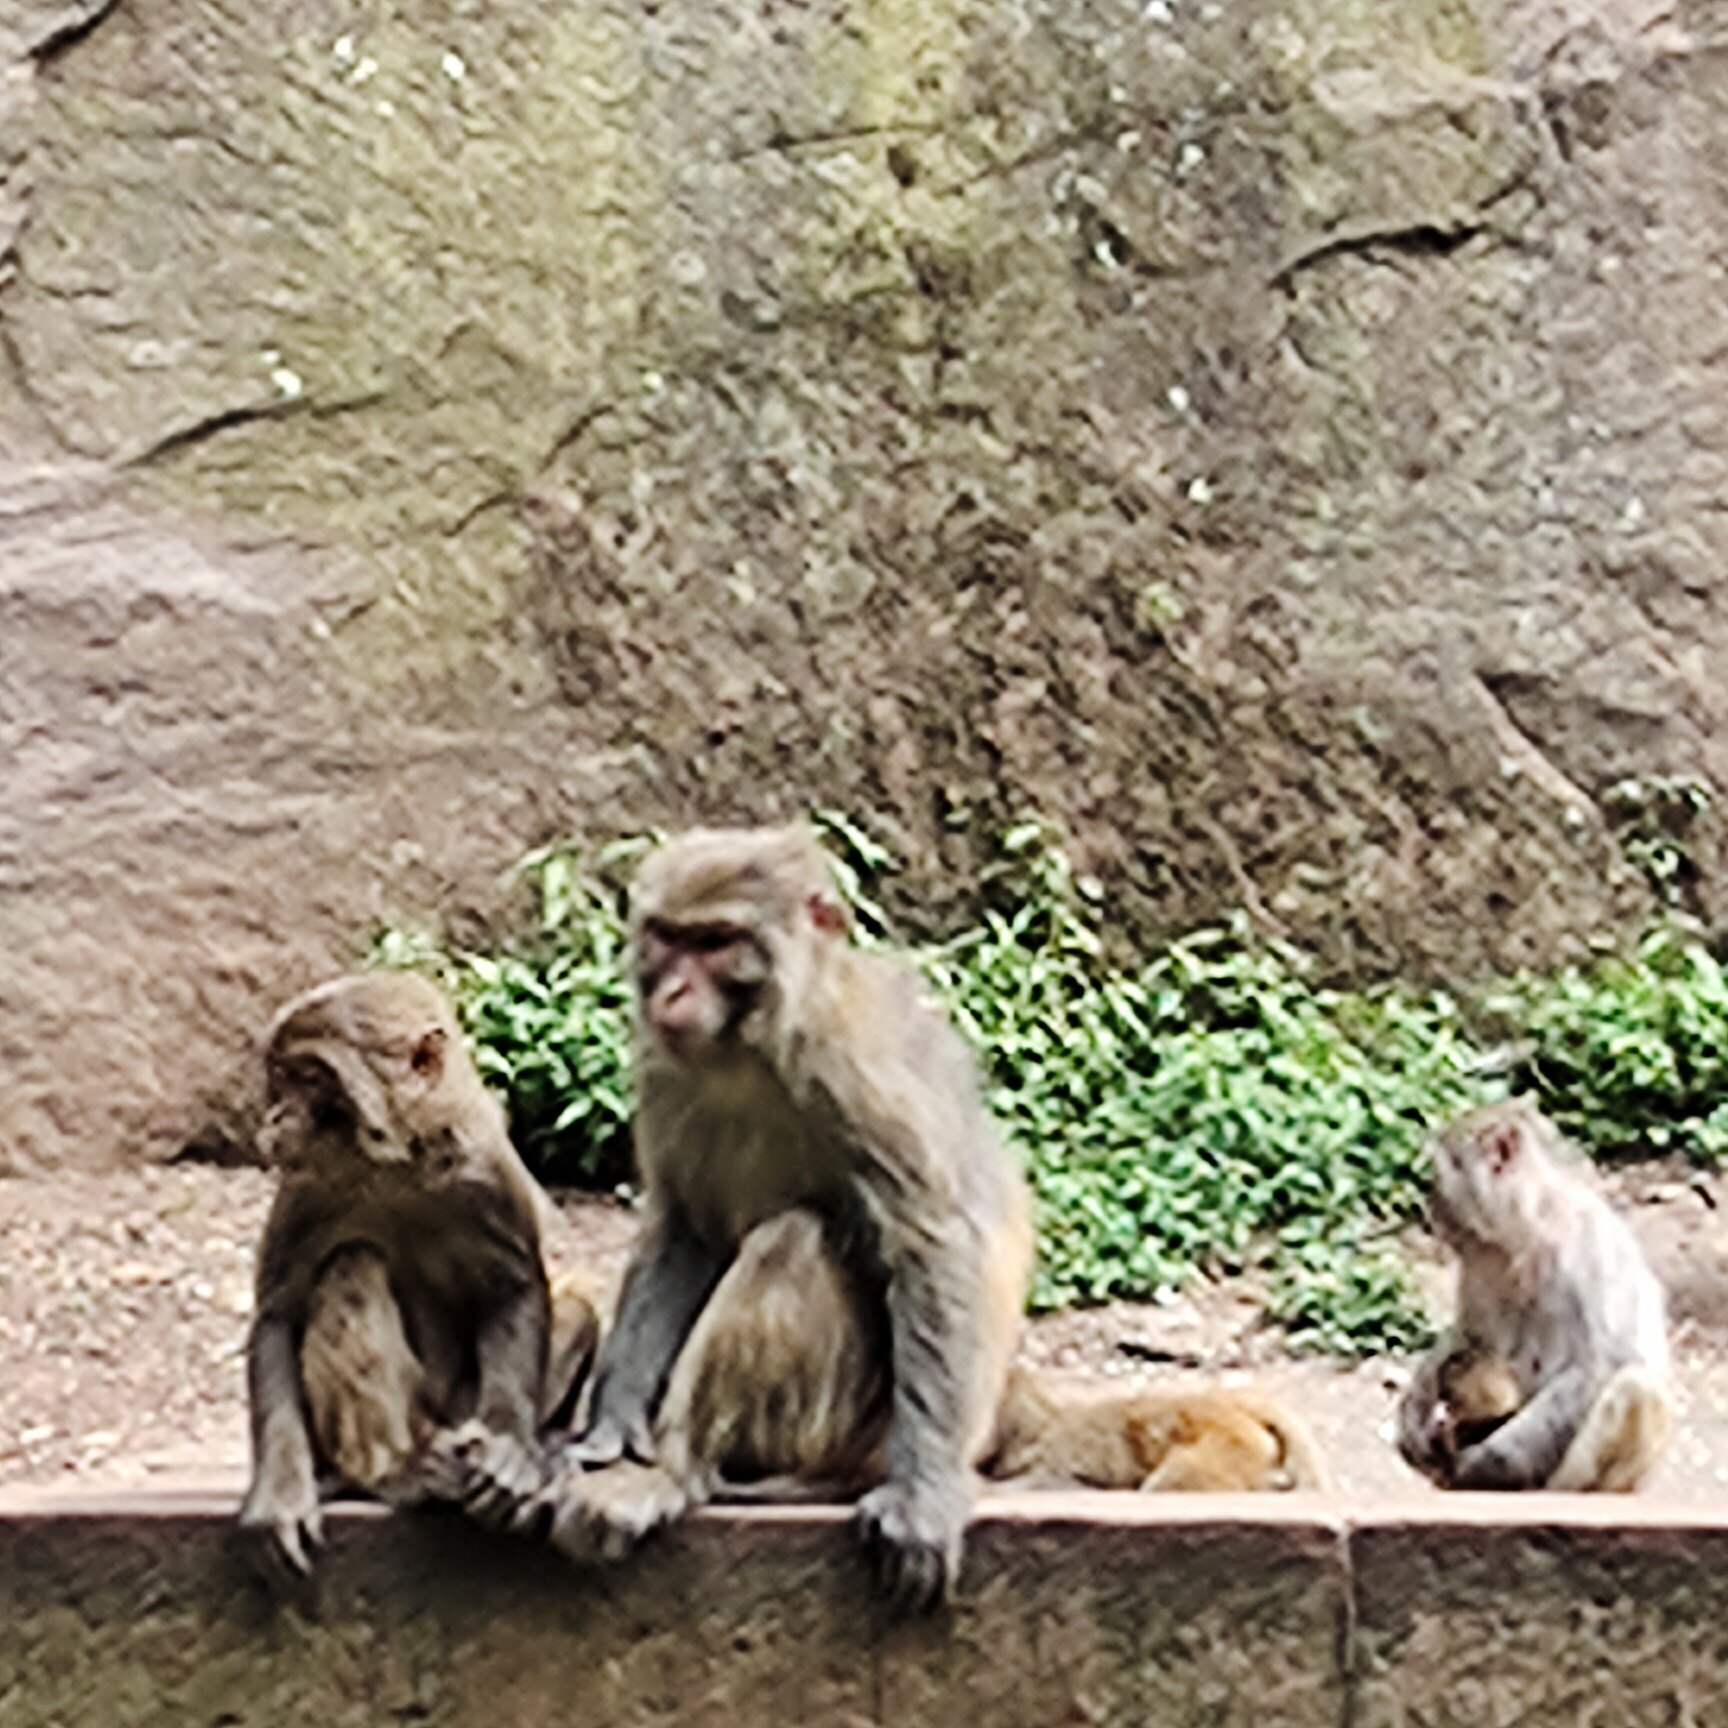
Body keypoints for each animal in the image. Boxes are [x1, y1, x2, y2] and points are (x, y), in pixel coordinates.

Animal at [237, 971, 601, 1573]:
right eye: (282, 1078)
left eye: (310, 1078)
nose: (276, 1118)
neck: (395, 1165)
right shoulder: (307, 1185)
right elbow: (278, 1315)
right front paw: (281, 1496)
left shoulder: (485, 1174)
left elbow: (514, 1290)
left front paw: (509, 1452)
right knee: (352, 1264)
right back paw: (396, 1473)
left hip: (457, 1411)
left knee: (579, 1306)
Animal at [461, 824, 1034, 1613]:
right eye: (668, 938)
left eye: (717, 942)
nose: (673, 990)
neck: (749, 1049)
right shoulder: (663, 1069)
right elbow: (684, 1230)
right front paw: (615, 1426)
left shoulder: (858, 1067)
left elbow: (931, 1243)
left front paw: (925, 1497)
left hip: (849, 1431)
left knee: (793, 1241)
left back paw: (673, 1475)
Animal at [1396, 1098, 1674, 1493]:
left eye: (1440, 1174)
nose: (1428, 1203)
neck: (1529, 1230)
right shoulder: (1480, 1261)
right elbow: (1470, 1332)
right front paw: (1415, 1409)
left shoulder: (1591, 1251)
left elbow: (1604, 1365)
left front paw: (1492, 1459)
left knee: (1637, 1390)